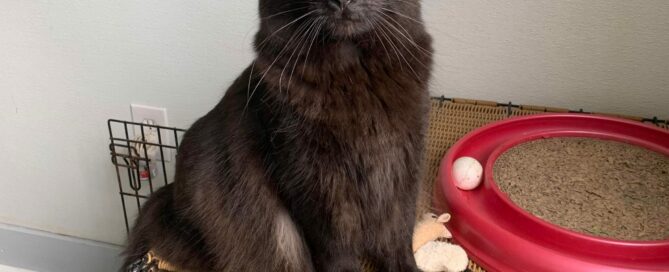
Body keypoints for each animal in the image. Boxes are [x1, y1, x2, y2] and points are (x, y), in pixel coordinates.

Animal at [124, 0, 434, 270]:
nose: (342, 2)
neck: (352, 73)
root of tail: (169, 199)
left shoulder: (403, 166)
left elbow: (397, 239)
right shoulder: (311, 181)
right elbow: (337, 251)